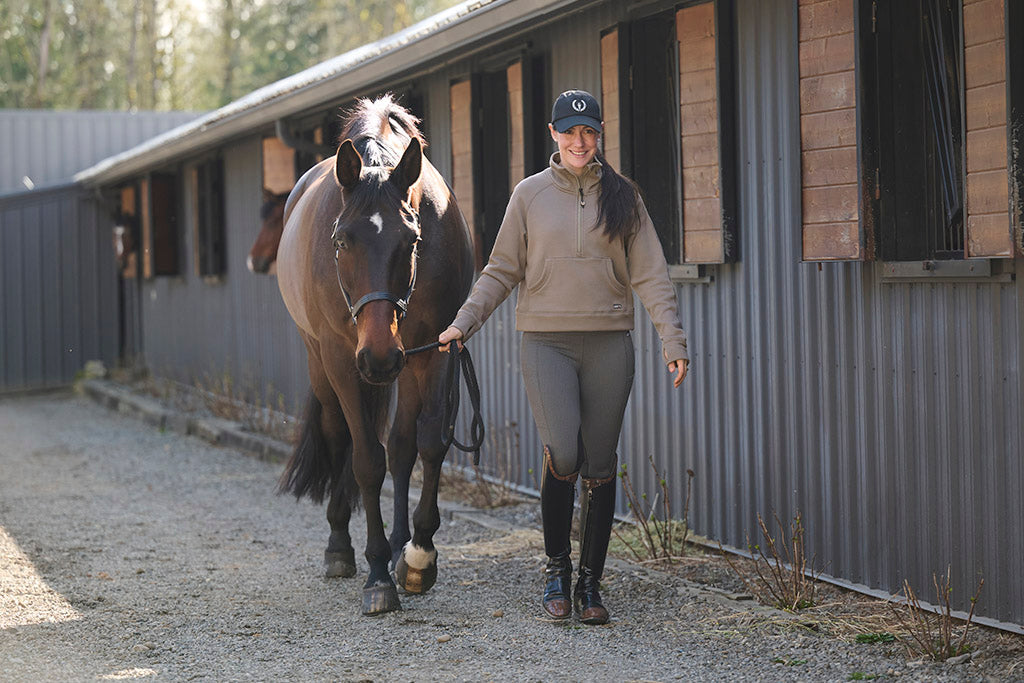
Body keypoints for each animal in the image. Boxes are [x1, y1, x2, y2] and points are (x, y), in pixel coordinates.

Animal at [275, 95, 475, 615]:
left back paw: (402, 543)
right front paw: (378, 573)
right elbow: (366, 459)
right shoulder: (344, 361)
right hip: (324, 366)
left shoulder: (438, 349)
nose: (381, 357)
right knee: (338, 435)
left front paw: (419, 553)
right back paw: (341, 547)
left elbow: (429, 442)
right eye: (342, 240)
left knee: (402, 445)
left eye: (413, 240)